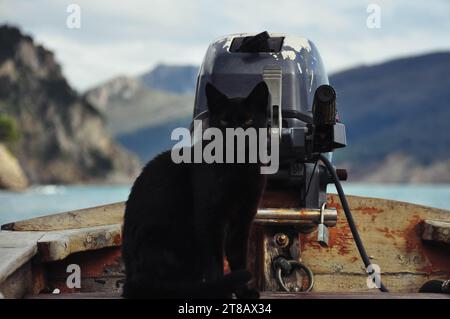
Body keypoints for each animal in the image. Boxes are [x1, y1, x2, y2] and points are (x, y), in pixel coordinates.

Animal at [121, 81, 268, 298]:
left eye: (249, 120)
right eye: (224, 121)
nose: (236, 135)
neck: (238, 168)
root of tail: (131, 277)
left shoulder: (243, 219)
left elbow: (238, 258)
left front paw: (243, 292)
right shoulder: (210, 219)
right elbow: (215, 262)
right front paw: (221, 292)